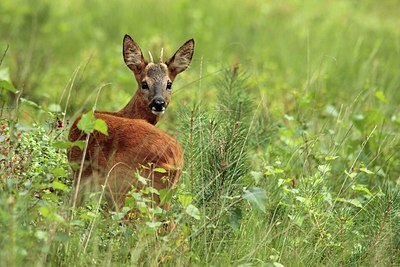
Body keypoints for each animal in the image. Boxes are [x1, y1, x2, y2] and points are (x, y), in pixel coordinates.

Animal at [68, 34, 195, 209]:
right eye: (144, 83)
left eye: (169, 84)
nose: (159, 103)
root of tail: (174, 160)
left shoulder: (80, 173)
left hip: (128, 185)